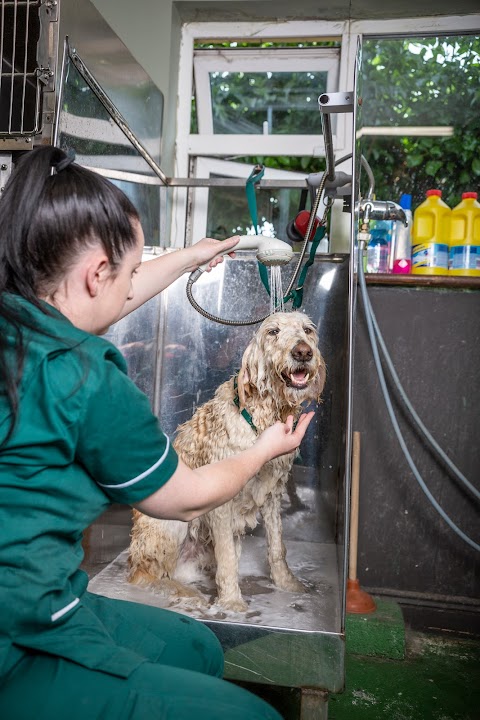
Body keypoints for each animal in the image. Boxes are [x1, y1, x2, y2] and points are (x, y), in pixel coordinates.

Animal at [126, 312, 326, 612]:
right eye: (273, 332)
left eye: (307, 330)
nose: (302, 352)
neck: (263, 414)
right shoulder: (221, 502)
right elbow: (228, 559)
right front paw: (232, 602)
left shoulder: (272, 494)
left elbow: (277, 547)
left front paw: (288, 584)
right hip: (170, 523)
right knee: (146, 575)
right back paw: (184, 592)